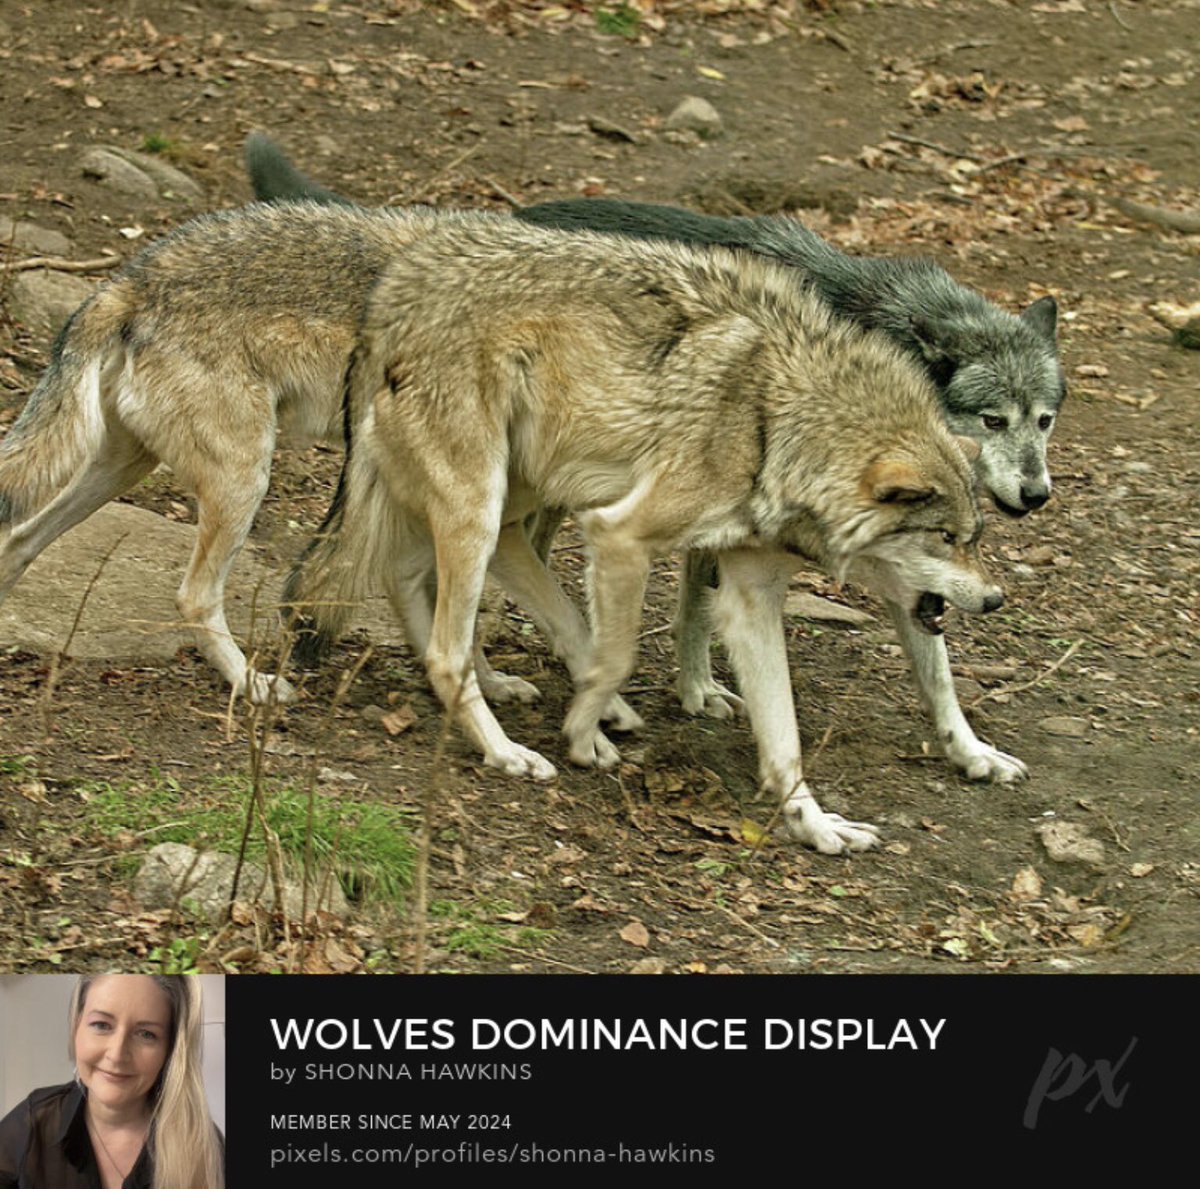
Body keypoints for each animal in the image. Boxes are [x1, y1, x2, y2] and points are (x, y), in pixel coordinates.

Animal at [245, 133, 1055, 781]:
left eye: (1045, 420)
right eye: (994, 418)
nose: (997, 598)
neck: (780, 413)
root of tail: (397, 283)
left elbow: (937, 675)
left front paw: (973, 752)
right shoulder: (628, 528)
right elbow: (657, 635)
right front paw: (666, 702)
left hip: (508, 493)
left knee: (428, 577)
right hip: (489, 501)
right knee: (450, 626)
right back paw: (510, 746)